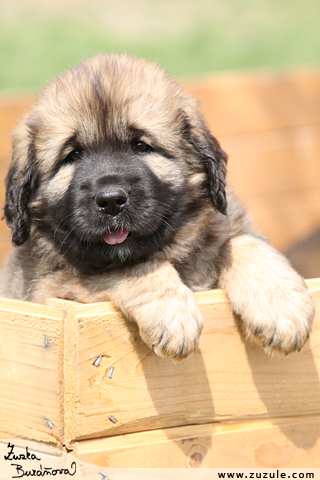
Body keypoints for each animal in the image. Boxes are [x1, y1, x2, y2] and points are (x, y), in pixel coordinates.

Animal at [0, 54, 316, 358]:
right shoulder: (47, 288)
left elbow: (242, 242)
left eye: (141, 146)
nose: (111, 200)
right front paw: (172, 314)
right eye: (72, 155)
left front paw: (281, 307)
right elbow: (128, 268)